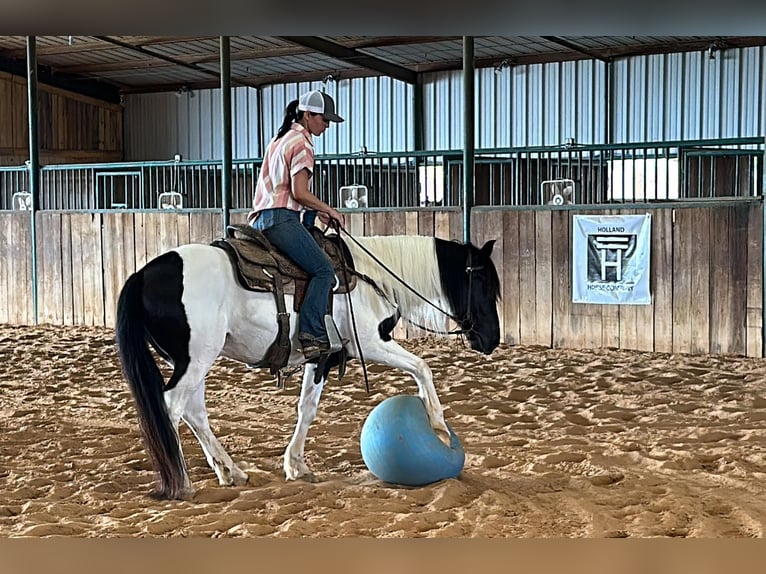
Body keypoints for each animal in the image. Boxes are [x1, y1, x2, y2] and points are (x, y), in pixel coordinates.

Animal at [117, 233, 504, 500]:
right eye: (484, 282)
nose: (492, 339)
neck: (370, 278)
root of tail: (142, 275)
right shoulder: (371, 343)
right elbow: (422, 367)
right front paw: (438, 426)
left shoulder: (321, 357)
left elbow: (307, 408)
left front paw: (297, 465)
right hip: (195, 359)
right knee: (172, 407)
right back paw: (182, 482)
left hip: (194, 360)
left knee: (195, 413)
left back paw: (231, 472)